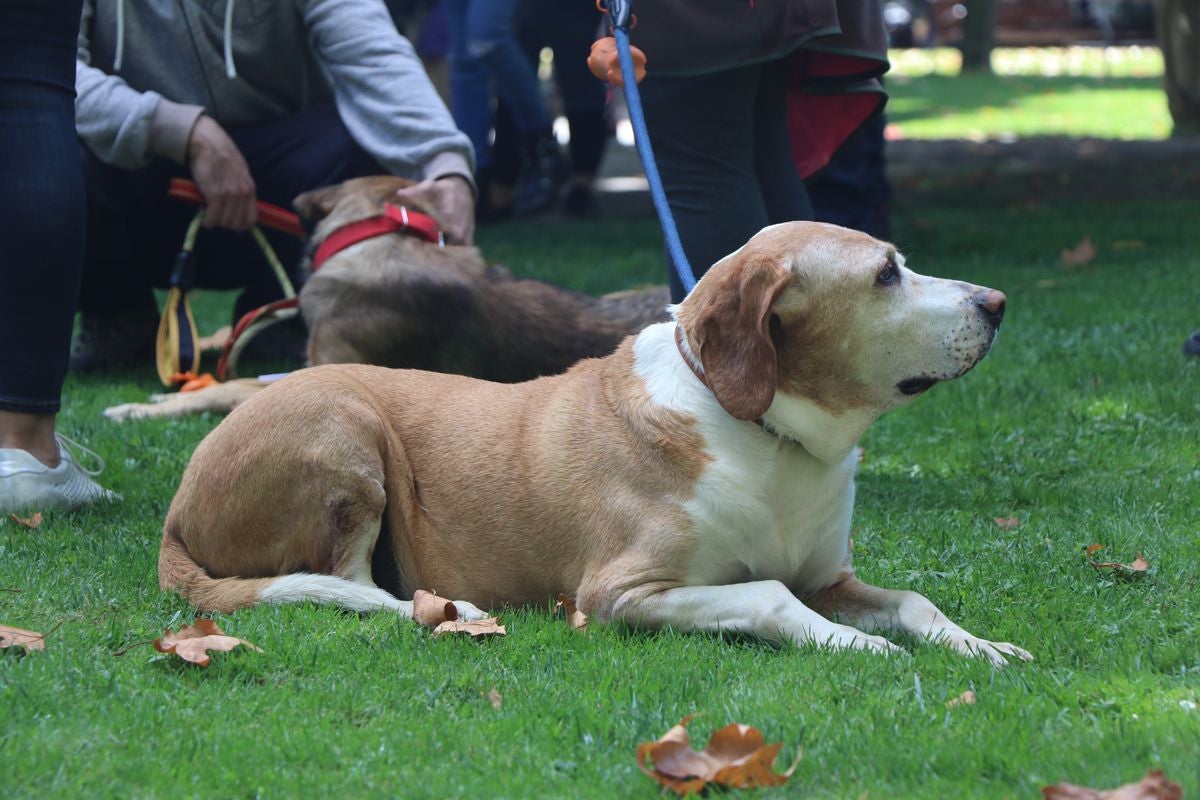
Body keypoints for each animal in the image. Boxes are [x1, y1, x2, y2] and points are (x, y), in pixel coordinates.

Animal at [157, 219, 1032, 662]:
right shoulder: (621, 593)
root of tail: (175, 510)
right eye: (885, 275)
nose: (996, 303)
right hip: (344, 421)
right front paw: (856, 646)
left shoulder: (833, 578)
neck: (764, 430)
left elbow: (913, 602)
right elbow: (768, 596)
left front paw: (978, 644)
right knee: (356, 587)